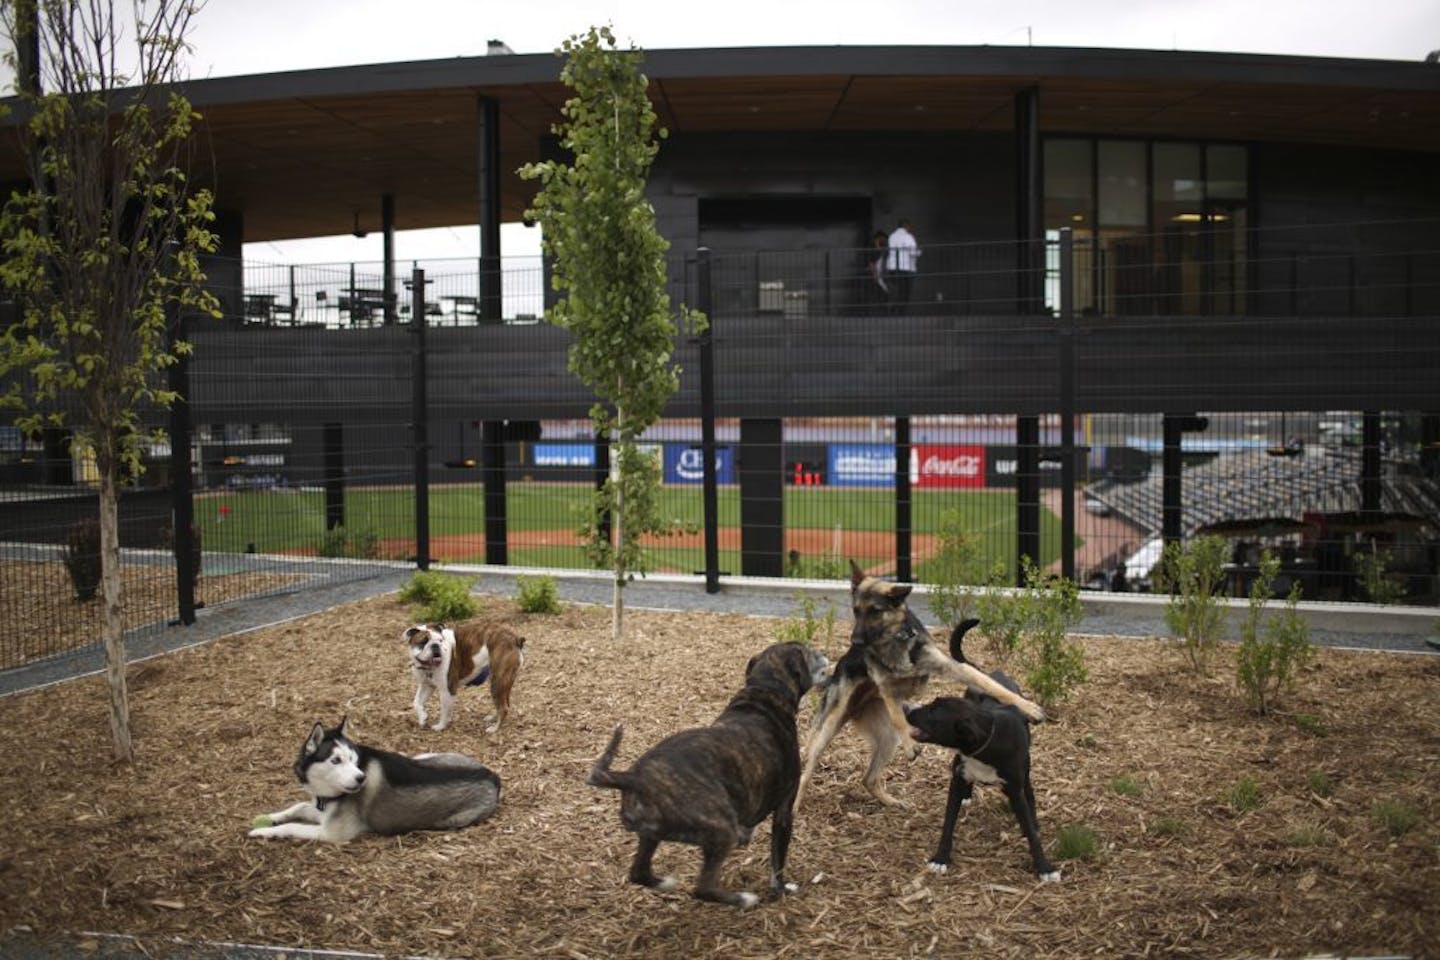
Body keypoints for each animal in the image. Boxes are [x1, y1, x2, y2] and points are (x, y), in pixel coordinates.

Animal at [587, 644, 835, 909]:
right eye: (808, 651)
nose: (824, 653)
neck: (764, 692)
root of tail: (633, 778)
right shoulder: (784, 811)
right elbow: (777, 862)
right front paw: (781, 889)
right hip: (722, 830)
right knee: (703, 888)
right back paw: (744, 899)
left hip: (650, 835)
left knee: (638, 872)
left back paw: (666, 883)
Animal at [904, 627, 1065, 880]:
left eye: (933, 712)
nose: (906, 707)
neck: (988, 738)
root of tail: (991, 673)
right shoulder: (957, 777)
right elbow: (948, 822)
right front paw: (940, 858)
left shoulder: (1014, 790)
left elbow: (1030, 831)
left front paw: (1044, 868)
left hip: (1025, 766)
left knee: (1028, 789)